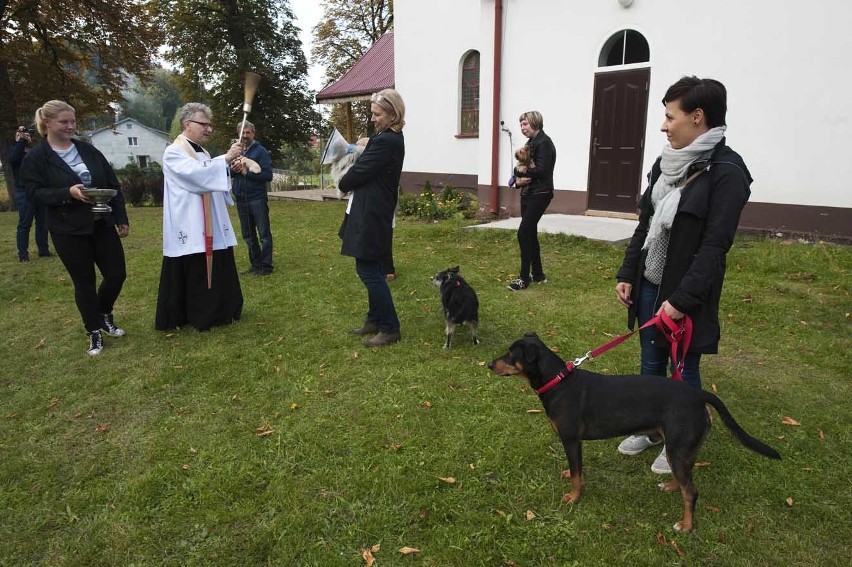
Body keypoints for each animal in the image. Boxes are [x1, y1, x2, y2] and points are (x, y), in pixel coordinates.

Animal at [490, 332, 784, 532]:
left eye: (510, 355)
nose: (490, 365)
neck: (558, 382)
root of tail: (699, 395)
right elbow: (574, 470)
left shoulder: (571, 440)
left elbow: (577, 475)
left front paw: (573, 498)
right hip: (682, 448)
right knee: (685, 480)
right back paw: (671, 486)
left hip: (679, 447)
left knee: (691, 492)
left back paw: (686, 526)